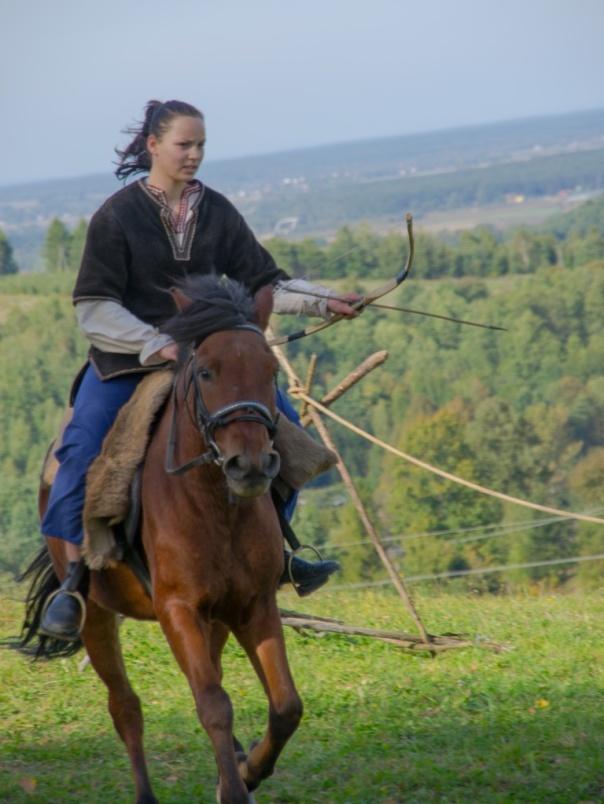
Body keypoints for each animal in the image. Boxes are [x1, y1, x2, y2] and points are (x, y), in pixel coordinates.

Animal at [18, 276, 302, 804]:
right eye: (207, 371)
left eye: (270, 370)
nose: (250, 466)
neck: (214, 505)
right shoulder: (178, 609)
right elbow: (212, 705)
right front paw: (235, 786)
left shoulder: (253, 604)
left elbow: (285, 705)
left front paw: (248, 770)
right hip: (97, 616)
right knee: (125, 707)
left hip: (216, 619)